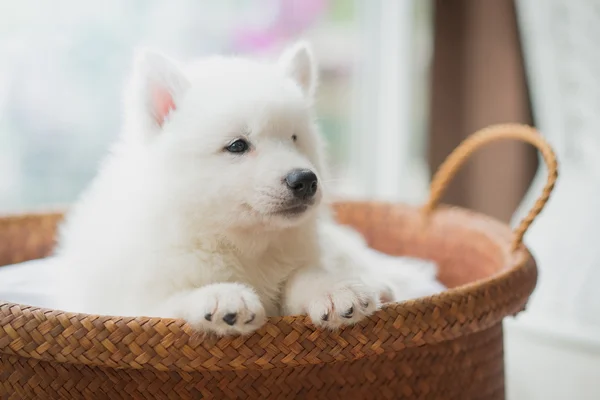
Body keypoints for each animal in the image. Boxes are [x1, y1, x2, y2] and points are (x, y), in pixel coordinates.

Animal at [55, 42, 440, 336]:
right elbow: (168, 303)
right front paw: (220, 297)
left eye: (294, 138)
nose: (304, 179)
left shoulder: (296, 258)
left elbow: (303, 275)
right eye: (238, 146)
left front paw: (334, 290)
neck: (239, 241)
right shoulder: (128, 301)